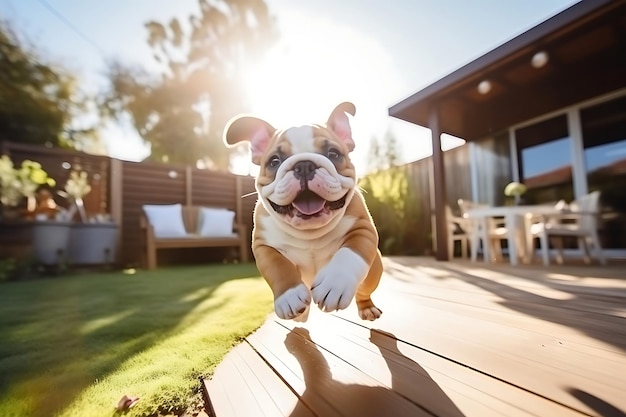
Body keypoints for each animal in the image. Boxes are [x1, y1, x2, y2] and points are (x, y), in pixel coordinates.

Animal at [224, 101, 380, 322]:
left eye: (333, 154)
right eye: (274, 161)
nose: (304, 165)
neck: (309, 233)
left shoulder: (362, 229)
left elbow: (349, 253)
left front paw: (335, 283)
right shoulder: (264, 246)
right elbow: (278, 266)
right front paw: (289, 296)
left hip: (373, 273)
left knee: (364, 290)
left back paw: (367, 308)